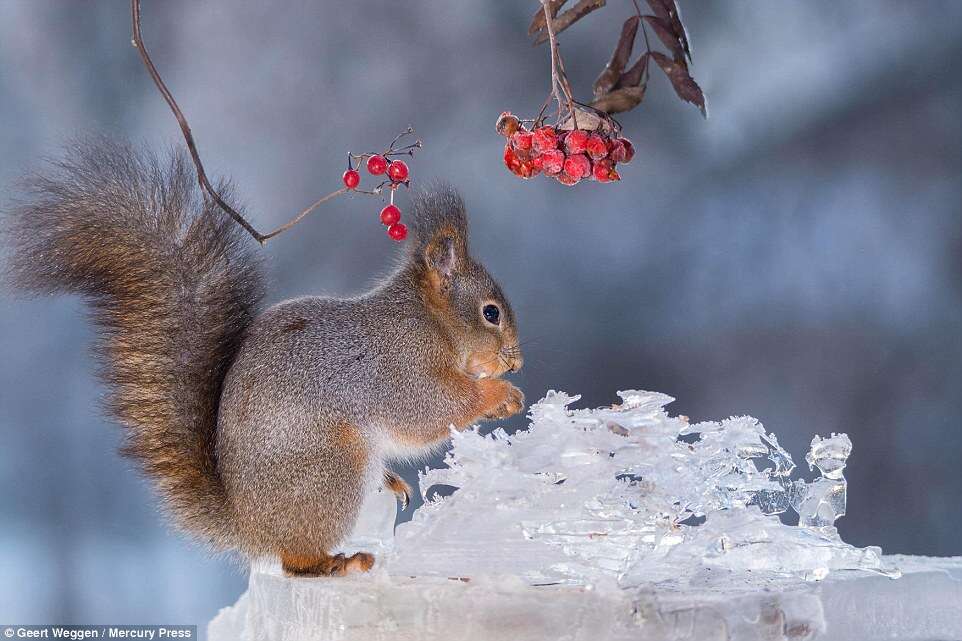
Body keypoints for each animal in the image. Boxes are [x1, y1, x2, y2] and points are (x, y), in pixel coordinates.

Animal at [7, 140, 520, 576]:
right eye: (490, 313)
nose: (514, 362)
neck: (430, 322)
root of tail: (251, 527)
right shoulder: (399, 368)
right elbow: (430, 409)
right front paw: (499, 393)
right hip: (329, 468)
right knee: (295, 560)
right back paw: (336, 561)